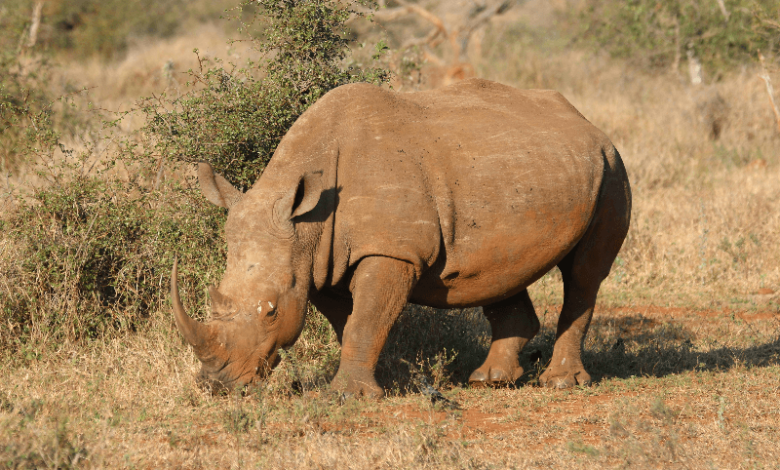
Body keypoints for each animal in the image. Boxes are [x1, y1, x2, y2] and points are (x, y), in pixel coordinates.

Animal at [171, 78, 631, 397]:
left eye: (271, 312)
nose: (217, 384)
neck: (307, 224)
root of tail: (588, 123)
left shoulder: (391, 251)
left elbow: (366, 318)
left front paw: (347, 396)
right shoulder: (320, 263)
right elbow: (351, 321)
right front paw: (380, 381)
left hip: (610, 168)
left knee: (584, 276)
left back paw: (560, 383)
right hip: (523, 172)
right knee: (502, 268)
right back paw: (490, 380)